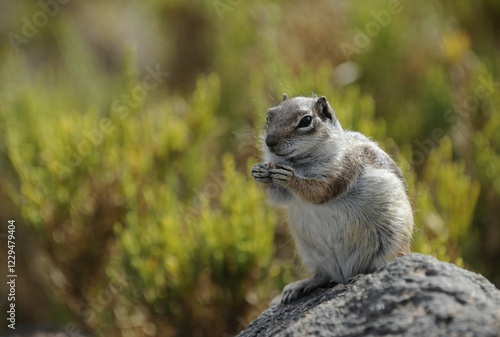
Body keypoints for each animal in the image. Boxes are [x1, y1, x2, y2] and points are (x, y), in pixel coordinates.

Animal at [250, 93, 414, 304]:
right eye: (269, 116)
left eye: (306, 121)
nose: (270, 141)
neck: (298, 163)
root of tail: (344, 275)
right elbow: (279, 197)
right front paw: (259, 171)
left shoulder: (342, 168)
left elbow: (319, 191)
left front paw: (290, 178)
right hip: (311, 253)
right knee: (323, 275)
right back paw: (299, 286)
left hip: (393, 241)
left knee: (382, 266)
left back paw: (361, 276)